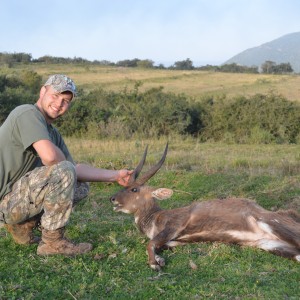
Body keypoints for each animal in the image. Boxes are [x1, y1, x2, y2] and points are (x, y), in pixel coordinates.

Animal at [109, 144, 300, 270]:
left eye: (134, 189)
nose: (112, 199)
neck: (156, 217)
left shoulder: (174, 226)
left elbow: (150, 243)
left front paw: (155, 264)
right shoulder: (173, 241)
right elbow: (158, 244)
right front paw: (160, 260)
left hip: (272, 224)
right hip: (271, 245)